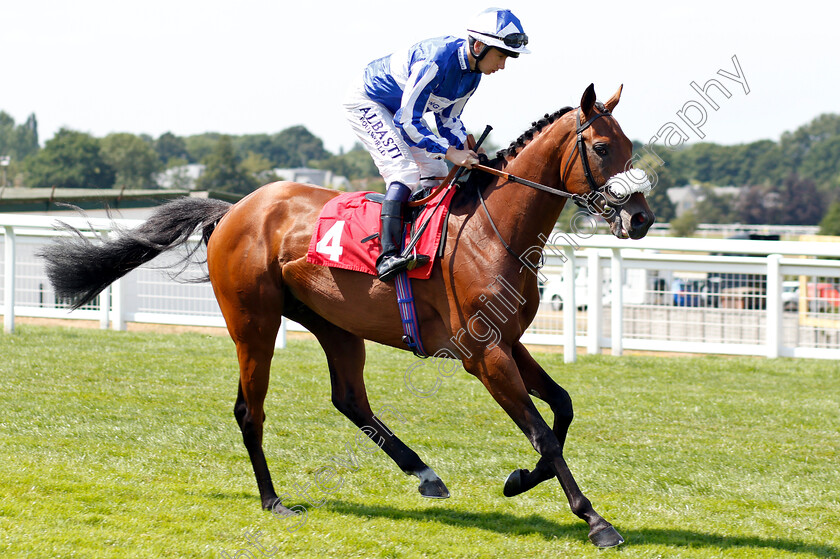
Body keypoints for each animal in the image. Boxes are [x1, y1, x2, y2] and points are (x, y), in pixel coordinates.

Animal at [39, 85, 656, 548]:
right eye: (604, 146)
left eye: (631, 145)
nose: (642, 217)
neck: (490, 229)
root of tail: (233, 209)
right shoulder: (483, 355)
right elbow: (544, 434)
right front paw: (595, 520)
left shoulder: (510, 343)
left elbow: (563, 409)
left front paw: (519, 480)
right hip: (254, 323)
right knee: (250, 411)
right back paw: (274, 500)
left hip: (334, 324)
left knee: (349, 398)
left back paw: (425, 474)